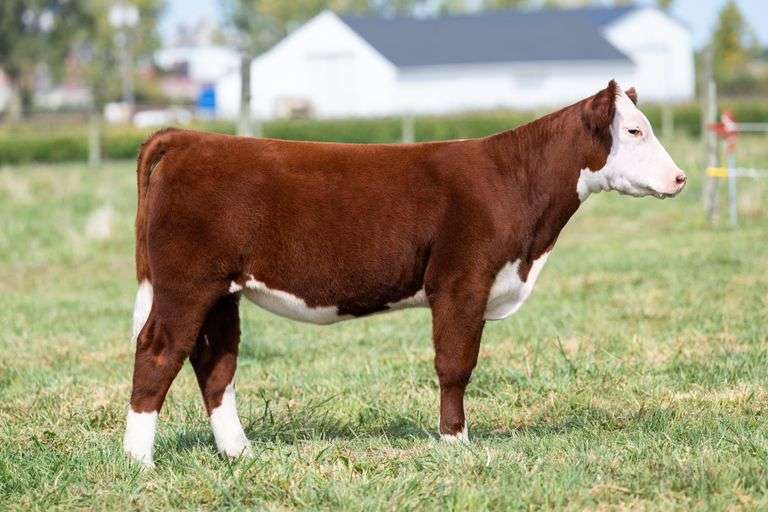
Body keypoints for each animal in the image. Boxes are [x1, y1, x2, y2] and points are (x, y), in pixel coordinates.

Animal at [124, 81, 686, 467]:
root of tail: (187, 138)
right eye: (634, 130)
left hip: (223, 290)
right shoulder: (462, 282)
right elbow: (455, 365)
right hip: (186, 283)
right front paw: (456, 443)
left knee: (215, 361)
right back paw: (139, 460)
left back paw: (239, 452)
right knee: (158, 351)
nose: (680, 178)